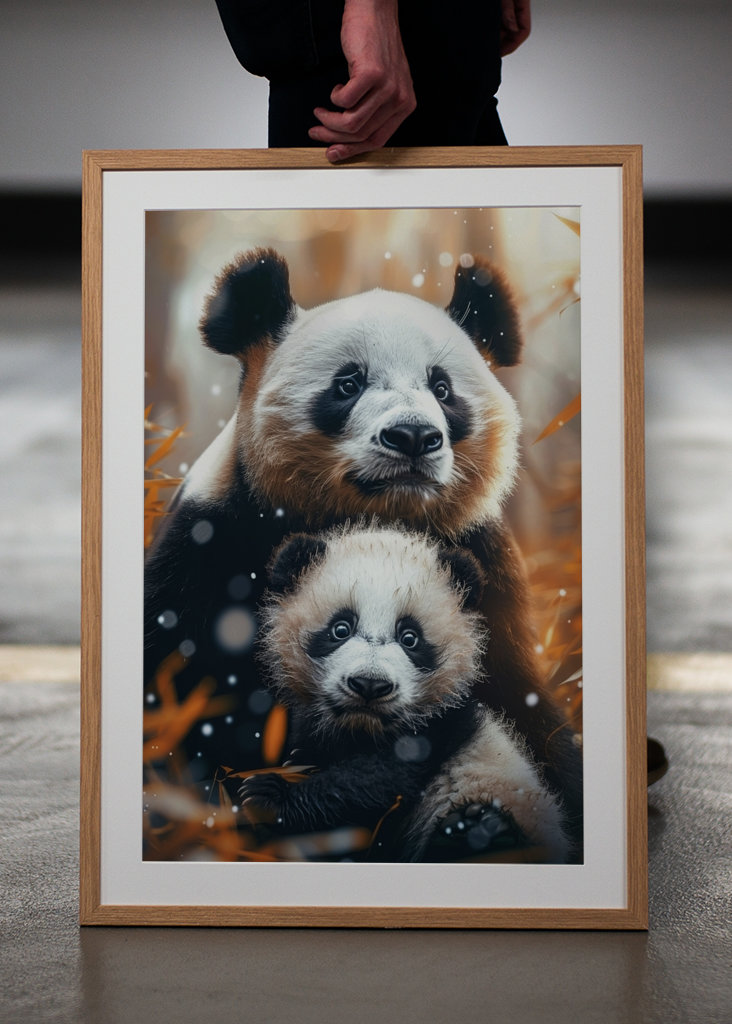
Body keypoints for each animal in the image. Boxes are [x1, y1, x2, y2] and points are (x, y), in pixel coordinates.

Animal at [238, 524, 570, 863]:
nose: (369, 685)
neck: (363, 729)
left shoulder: (439, 727)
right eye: (340, 629)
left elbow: (377, 782)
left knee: (482, 829)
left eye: (410, 637)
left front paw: (267, 796)